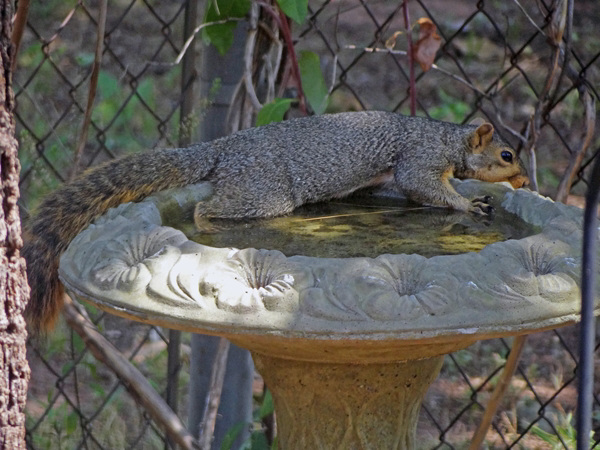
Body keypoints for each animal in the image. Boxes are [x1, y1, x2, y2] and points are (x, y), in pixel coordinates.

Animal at [22, 110, 528, 332]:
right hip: (264, 193)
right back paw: (208, 226)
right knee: (209, 208)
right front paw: (467, 204)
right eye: (506, 154)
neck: (447, 139)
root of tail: (225, 149)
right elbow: (421, 185)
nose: (524, 180)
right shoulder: (419, 159)